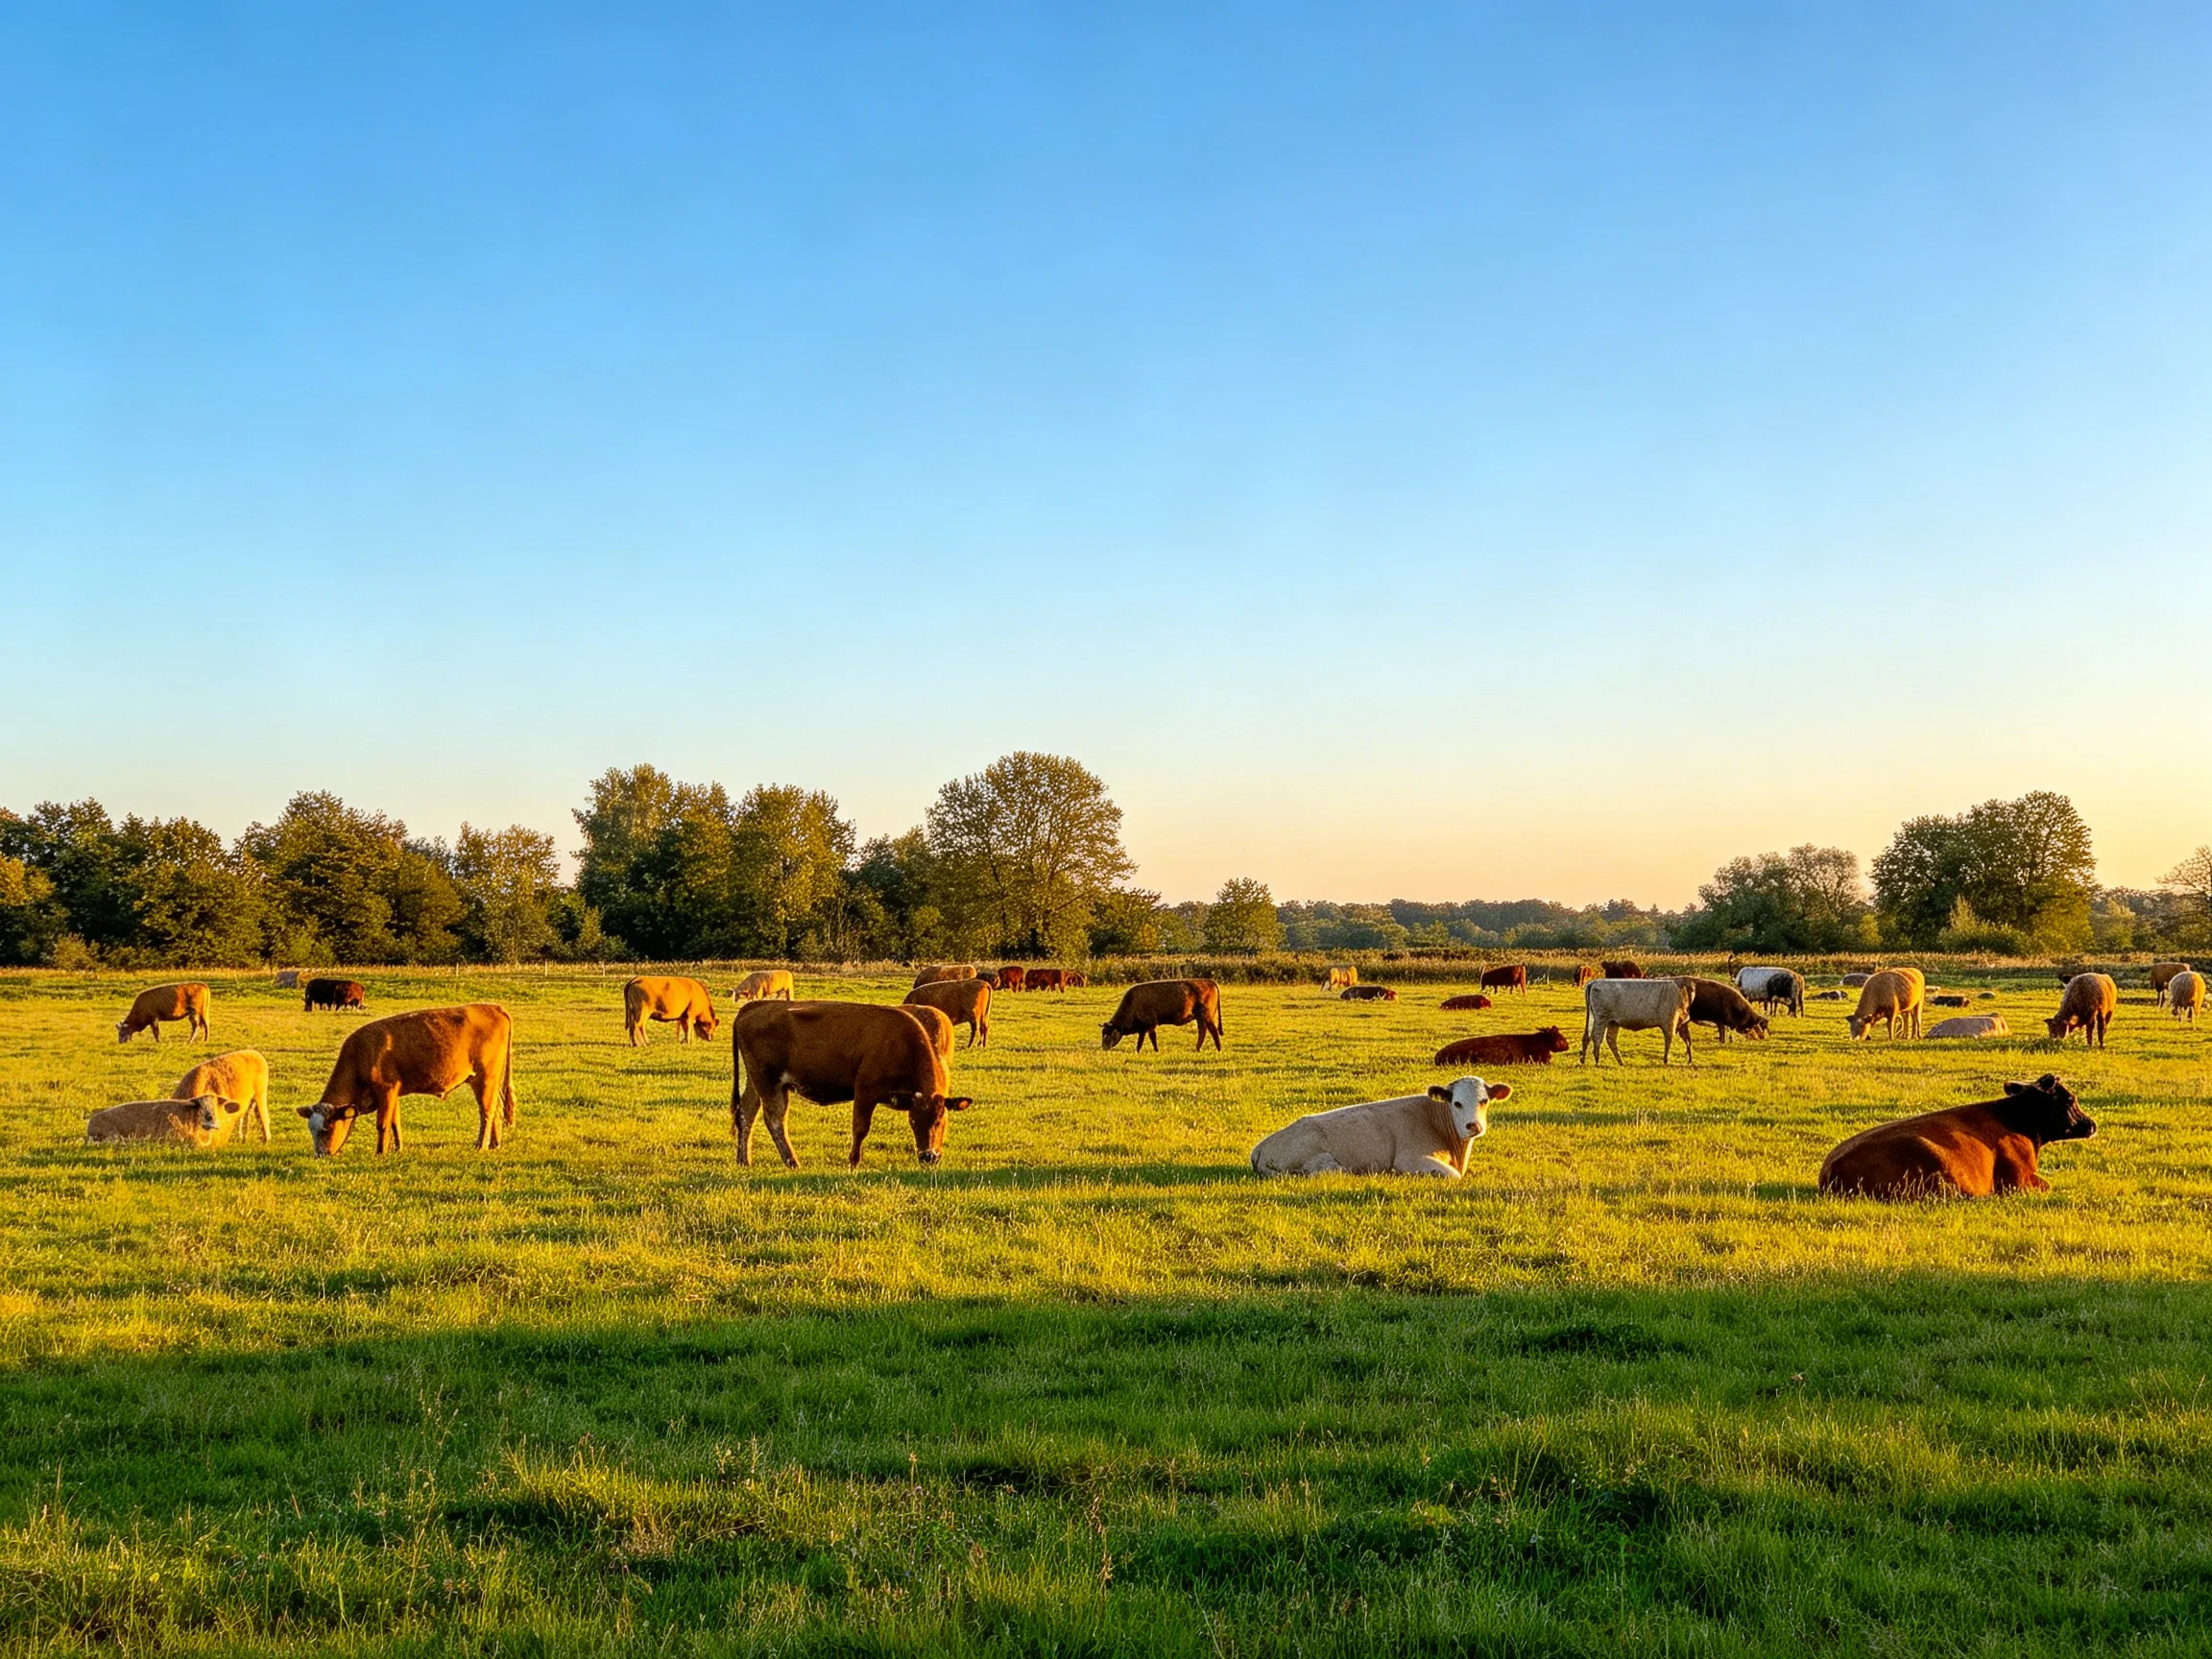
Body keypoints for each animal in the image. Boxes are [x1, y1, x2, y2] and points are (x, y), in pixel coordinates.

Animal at [295, 1004, 517, 1156]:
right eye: (311, 1130)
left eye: (327, 1129)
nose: (320, 1155)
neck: (361, 1053)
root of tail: (494, 1007)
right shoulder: (393, 1092)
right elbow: (395, 1122)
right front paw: (398, 1148)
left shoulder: (385, 1089)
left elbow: (383, 1124)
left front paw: (380, 1152)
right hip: (492, 1081)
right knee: (497, 1110)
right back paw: (495, 1144)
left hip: (485, 1078)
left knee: (487, 1112)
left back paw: (481, 1145)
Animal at [730, 1000, 972, 1169]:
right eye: (913, 1121)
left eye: (940, 1121)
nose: (928, 1156)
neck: (902, 1044)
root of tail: (755, 1006)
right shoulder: (865, 1091)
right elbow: (860, 1128)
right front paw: (854, 1161)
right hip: (769, 1083)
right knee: (775, 1119)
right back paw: (792, 1161)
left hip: (756, 1082)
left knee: (746, 1113)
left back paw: (744, 1160)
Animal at [1249, 1076, 1510, 1178]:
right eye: (1456, 1103)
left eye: (1484, 1100)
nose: (1473, 1126)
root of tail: (1261, 1147)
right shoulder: (1410, 1159)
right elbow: (1454, 1176)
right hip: (1325, 1163)